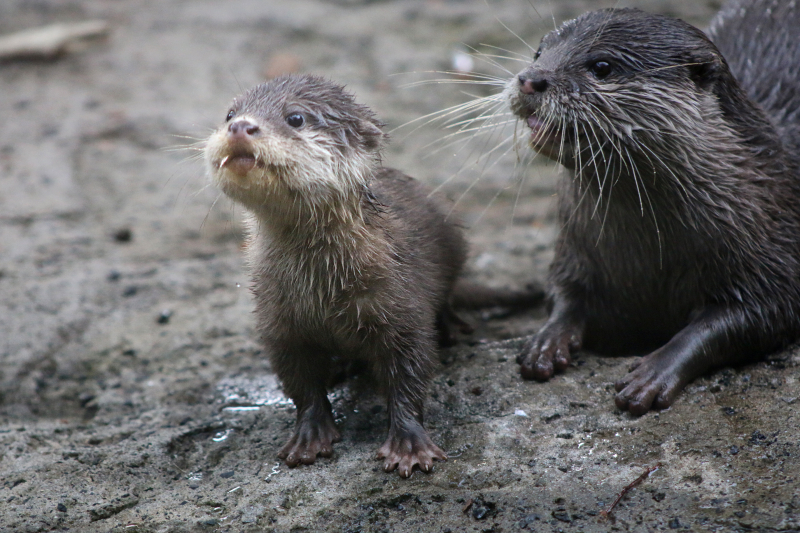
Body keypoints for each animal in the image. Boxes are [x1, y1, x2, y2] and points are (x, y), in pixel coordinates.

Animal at [204, 75, 541, 477]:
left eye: (295, 117)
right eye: (229, 114)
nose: (241, 126)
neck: (322, 289)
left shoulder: (401, 306)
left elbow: (410, 373)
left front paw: (409, 445)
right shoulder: (277, 319)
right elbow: (299, 382)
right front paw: (309, 436)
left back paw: (452, 328)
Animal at [506, 0, 800, 414]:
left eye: (602, 66)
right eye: (539, 52)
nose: (531, 79)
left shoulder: (775, 254)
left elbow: (752, 317)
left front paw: (655, 371)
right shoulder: (573, 248)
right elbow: (563, 292)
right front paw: (546, 340)